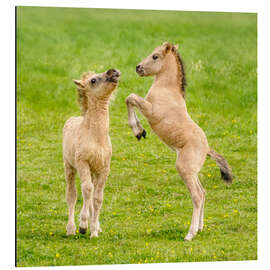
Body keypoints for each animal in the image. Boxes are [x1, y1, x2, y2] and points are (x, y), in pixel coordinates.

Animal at [126, 42, 232, 240]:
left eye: (155, 56)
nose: (138, 68)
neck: (167, 89)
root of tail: (207, 148)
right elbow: (131, 99)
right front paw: (140, 131)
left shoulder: (152, 111)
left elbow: (131, 97)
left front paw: (138, 131)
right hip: (192, 171)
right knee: (203, 192)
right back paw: (200, 228)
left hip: (184, 169)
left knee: (197, 196)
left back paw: (190, 234)